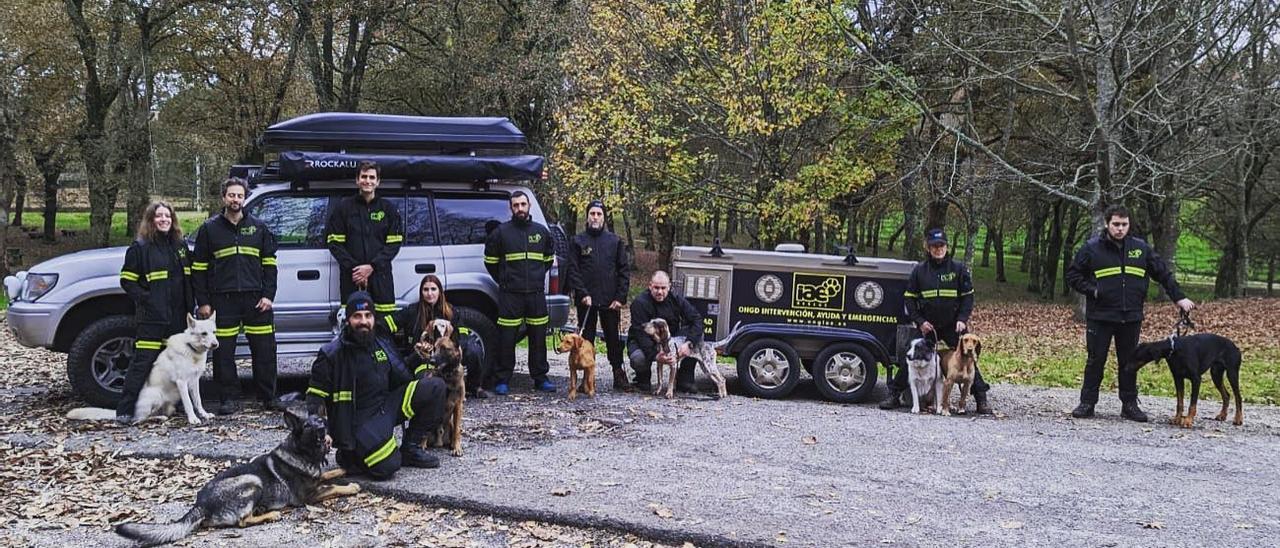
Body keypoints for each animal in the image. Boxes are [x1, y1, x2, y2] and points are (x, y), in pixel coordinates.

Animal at [68, 312, 220, 425]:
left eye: (214, 332)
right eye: (204, 333)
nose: (215, 344)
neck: (191, 349)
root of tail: (129, 412)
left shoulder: (194, 381)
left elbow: (198, 401)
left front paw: (204, 414)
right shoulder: (182, 382)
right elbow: (189, 403)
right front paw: (193, 419)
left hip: (168, 406)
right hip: (155, 395)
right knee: (139, 419)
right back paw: (158, 418)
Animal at [115, 409, 358, 548]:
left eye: (318, 420)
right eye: (308, 425)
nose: (323, 427)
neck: (302, 452)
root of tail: (200, 504)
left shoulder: (317, 477)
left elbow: (328, 474)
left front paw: (343, 470)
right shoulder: (308, 496)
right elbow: (334, 488)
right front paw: (352, 486)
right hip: (252, 481)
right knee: (242, 521)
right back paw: (271, 515)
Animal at [414, 318, 465, 455]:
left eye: (444, 349)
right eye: (434, 348)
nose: (431, 361)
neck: (447, 376)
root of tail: (439, 442)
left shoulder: (458, 404)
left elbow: (457, 430)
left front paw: (457, 447)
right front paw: (421, 445)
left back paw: (452, 444)